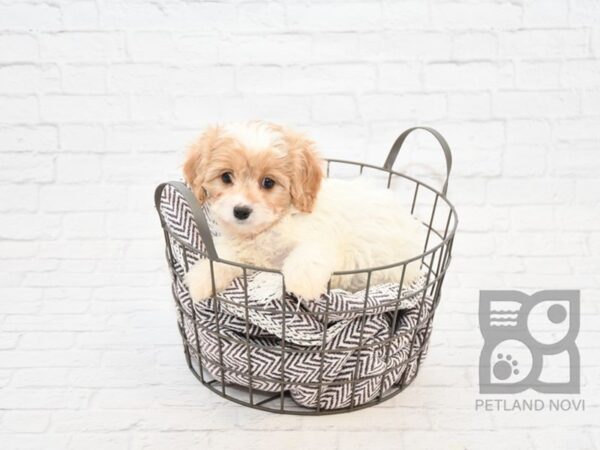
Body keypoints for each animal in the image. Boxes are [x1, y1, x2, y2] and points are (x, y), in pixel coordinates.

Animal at [182, 121, 422, 300]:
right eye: (225, 177)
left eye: (268, 182)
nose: (241, 211)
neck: (271, 228)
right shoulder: (244, 251)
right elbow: (222, 257)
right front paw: (202, 277)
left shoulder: (322, 237)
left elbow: (309, 254)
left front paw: (301, 282)